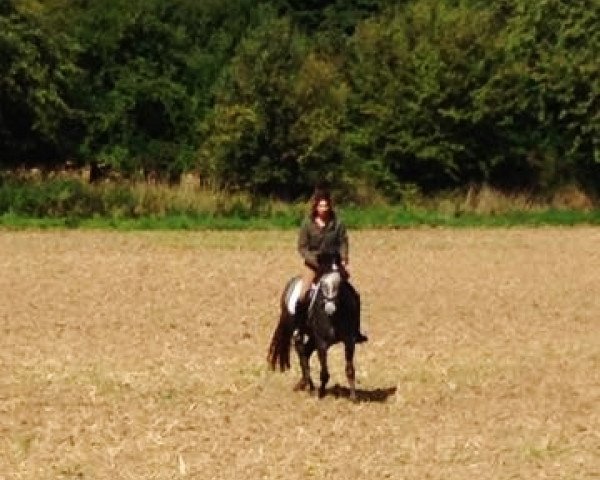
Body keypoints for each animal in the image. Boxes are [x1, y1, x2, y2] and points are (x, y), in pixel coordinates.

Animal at [268, 255, 360, 402]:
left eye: (339, 284)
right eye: (322, 284)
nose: (329, 308)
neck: (334, 317)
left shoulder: (349, 341)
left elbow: (350, 369)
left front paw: (353, 397)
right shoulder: (322, 343)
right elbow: (324, 373)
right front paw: (321, 394)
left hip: (312, 337)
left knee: (305, 352)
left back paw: (303, 383)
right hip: (299, 333)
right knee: (301, 353)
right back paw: (310, 387)